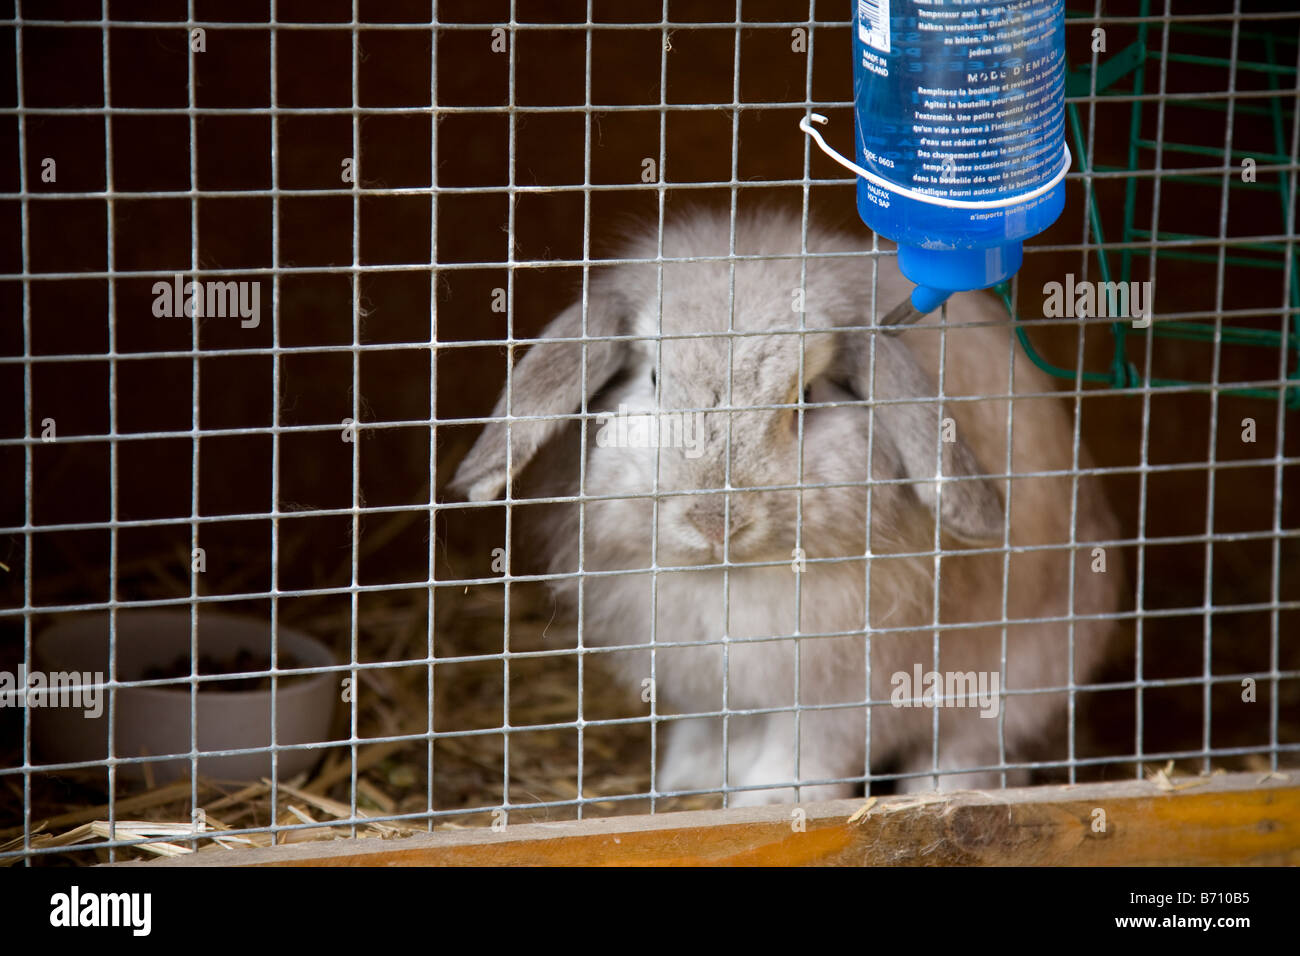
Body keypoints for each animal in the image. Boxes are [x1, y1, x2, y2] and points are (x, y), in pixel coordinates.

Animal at [448, 207, 1123, 806]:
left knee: (971, 746)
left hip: (1015, 682)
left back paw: (941, 791)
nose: (714, 520)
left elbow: (809, 749)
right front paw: (687, 782)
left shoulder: (845, 689)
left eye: (804, 398)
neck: (733, 576)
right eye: (655, 379)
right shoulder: (705, 680)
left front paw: (769, 800)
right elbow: (710, 731)